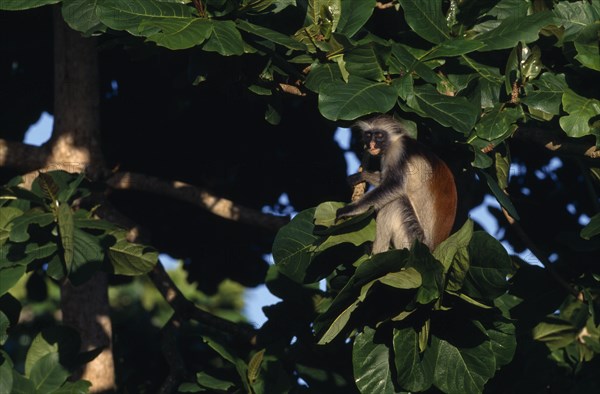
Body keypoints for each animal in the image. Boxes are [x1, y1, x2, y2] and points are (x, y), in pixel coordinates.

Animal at [336, 115, 458, 254]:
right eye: (368, 135)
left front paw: (347, 210)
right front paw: (362, 176)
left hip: (415, 241)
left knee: (395, 202)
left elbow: (395, 186)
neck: (394, 141)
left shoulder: (397, 151)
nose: (371, 144)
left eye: (379, 135)